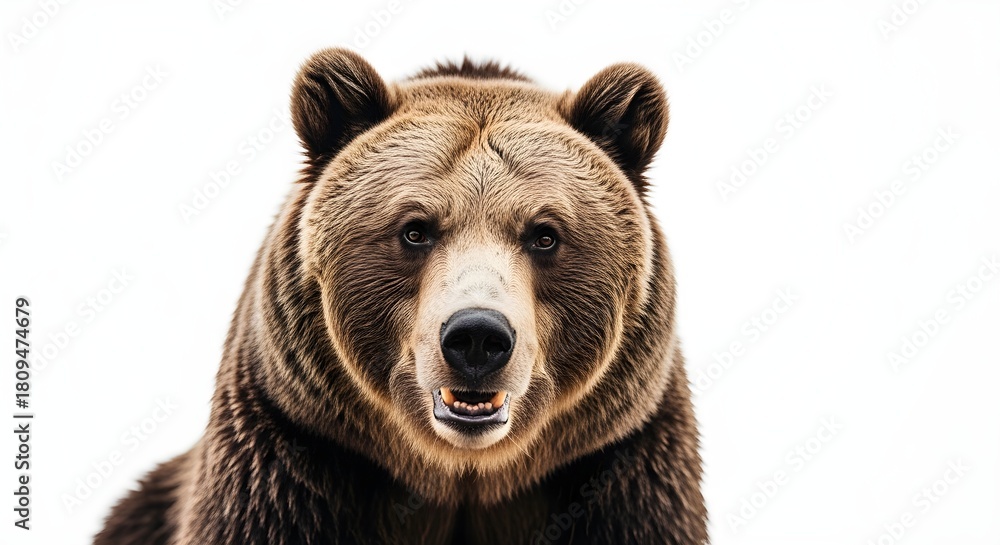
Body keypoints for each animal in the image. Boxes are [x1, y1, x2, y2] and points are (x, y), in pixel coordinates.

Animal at [94, 49, 707, 545]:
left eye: (544, 234)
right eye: (415, 229)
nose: (477, 337)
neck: (460, 477)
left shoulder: (617, 468)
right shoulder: (292, 458)